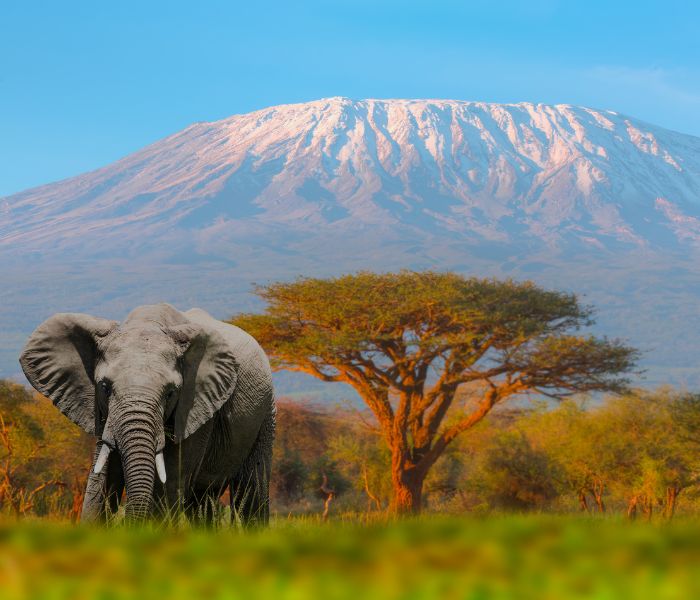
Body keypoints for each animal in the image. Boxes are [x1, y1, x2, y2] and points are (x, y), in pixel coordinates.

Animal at [19, 303, 275, 525]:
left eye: (171, 393)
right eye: (104, 387)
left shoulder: (196, 411)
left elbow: (168, 485)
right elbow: (101, 482)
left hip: (266, 410)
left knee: (251, 491)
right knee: (203, 503)